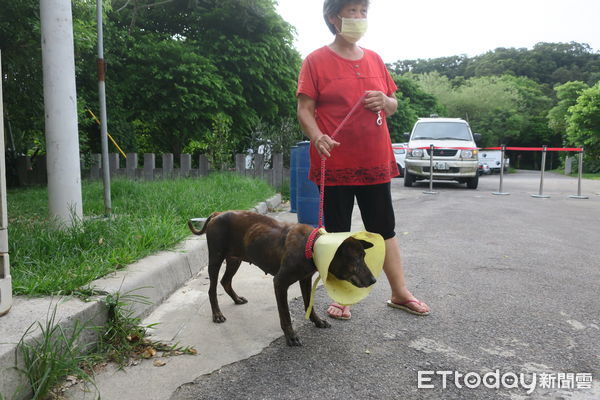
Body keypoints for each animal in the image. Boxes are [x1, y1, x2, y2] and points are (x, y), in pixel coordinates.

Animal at [188, 211, 376, 346]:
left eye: (364, 255)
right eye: (356, 259)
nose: (374, 280)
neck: (311, 246)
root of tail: (217, 214)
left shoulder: (305, 279)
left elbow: (309, 304)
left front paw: (317, 321)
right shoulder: (280, 283)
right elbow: (285, 313)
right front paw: (291, 336)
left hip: (235, 259)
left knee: (225, 281)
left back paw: (236, 299)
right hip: (216, 258)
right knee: (212, 288)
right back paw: (217, 314)